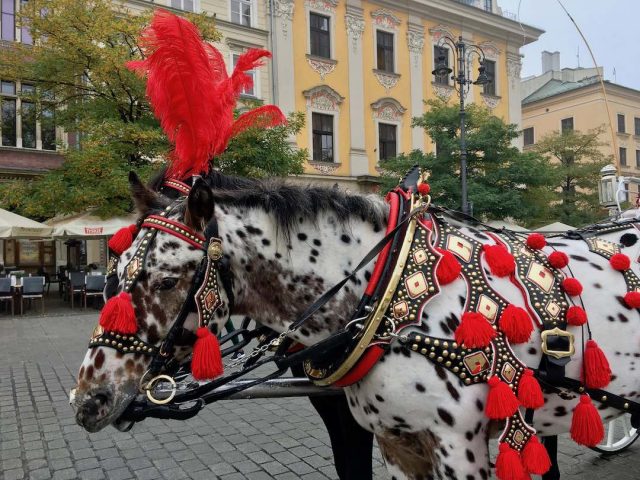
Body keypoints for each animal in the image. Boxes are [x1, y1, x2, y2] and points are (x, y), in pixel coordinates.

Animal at [72, 171, 640, 478]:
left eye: (167, 280)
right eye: (113, 273)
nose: (88, 400)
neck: (382, 292)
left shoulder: (459, 444)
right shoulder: (397, 443)